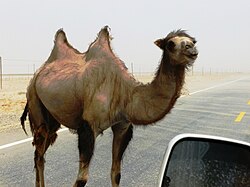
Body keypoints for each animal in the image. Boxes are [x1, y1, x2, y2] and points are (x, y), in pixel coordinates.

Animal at [20, 25, 198, 187]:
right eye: (170, 44)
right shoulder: (88, 126)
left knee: (40, 153)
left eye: (193, 40)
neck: (126, 92)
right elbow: (81, 179)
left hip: (53, 118)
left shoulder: (122, 126)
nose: (192, 49)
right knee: (39, 155)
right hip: (34, 100)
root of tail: (38, 73)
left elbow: (116, 173)